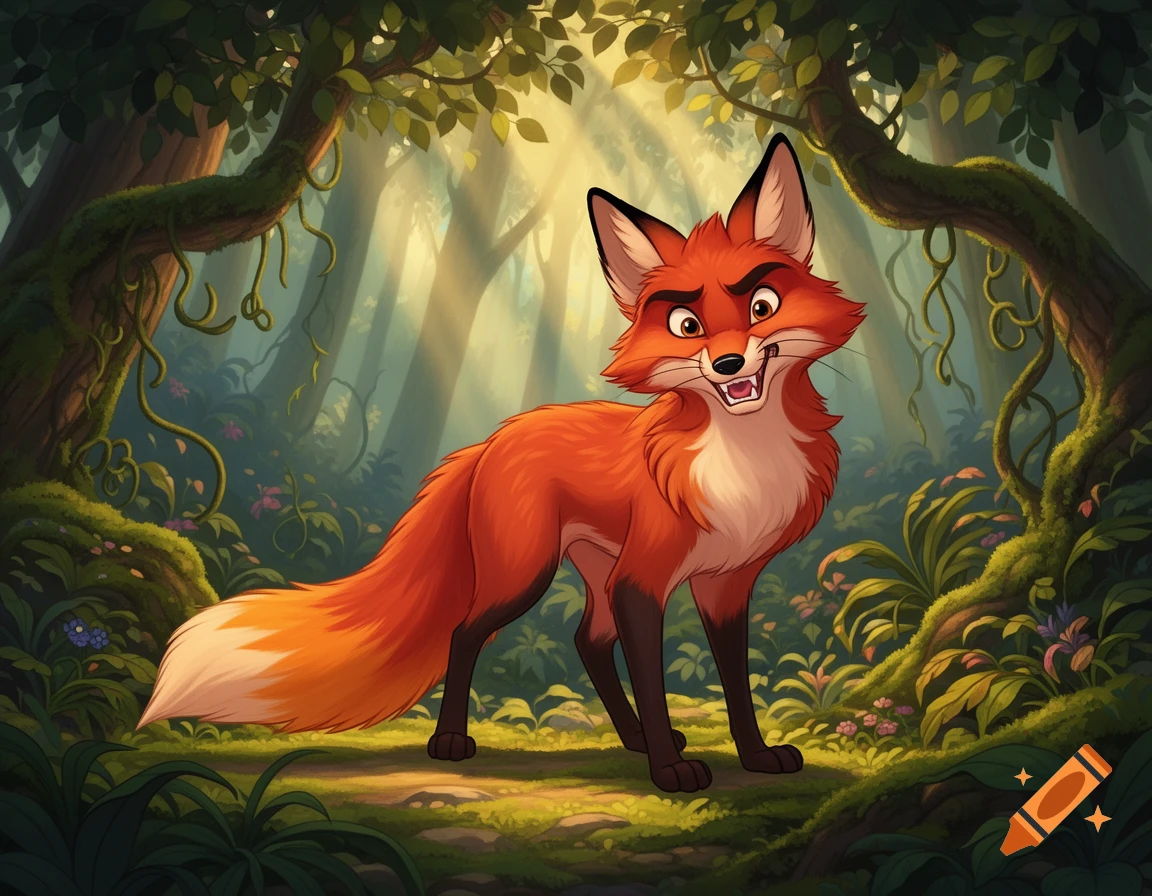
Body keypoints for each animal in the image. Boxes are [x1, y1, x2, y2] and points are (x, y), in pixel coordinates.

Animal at [139, 134, 864, 793]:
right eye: (687, 325)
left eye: (761, 307)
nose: (730, 363)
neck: (743, 463)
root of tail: (492, 440)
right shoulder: (645, 581)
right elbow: (656, 682)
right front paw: (669, 770)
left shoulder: (726, 585)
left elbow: (737, 686)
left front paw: (755, 756)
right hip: (527, 571)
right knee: (468, 633)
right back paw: (452, 742)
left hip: (592, 570)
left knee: (586, 641)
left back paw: (625, 738)